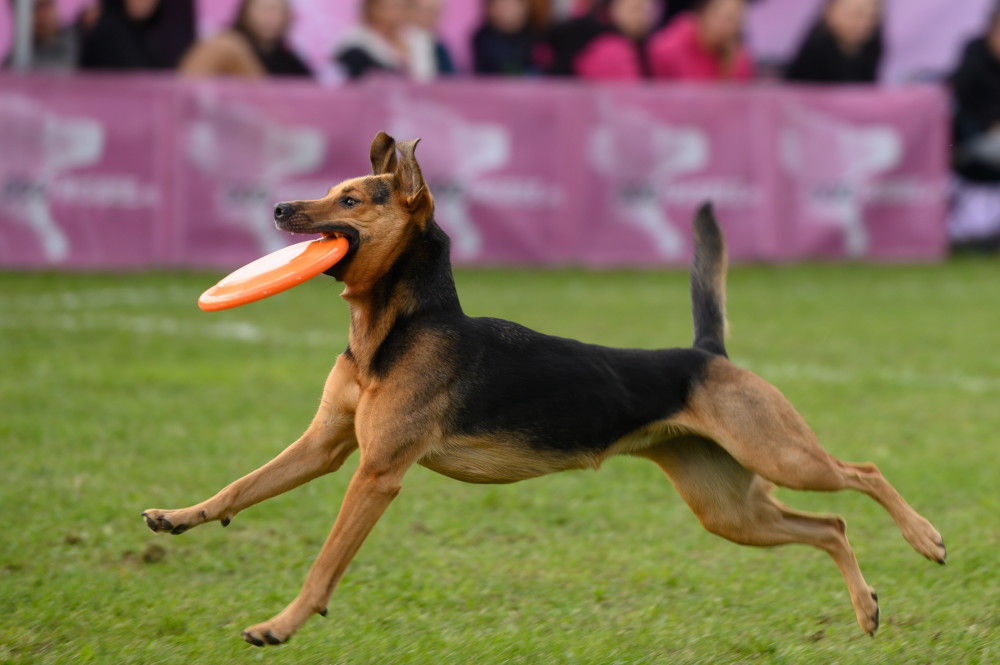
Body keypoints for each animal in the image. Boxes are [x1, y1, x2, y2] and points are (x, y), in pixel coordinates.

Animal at [143, 130, 944, 644]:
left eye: (351, 199)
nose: (280, 209)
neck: (397, 326)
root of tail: (705, 353)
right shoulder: (324, 447)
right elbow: (242, 486)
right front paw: (177, 516)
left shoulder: (375, 473)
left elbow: (322, 567)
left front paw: (278, 626)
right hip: (729, 506)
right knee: (830, 525)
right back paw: (868, 608)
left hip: (779, 453)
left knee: (862, 473)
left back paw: (927, 538)